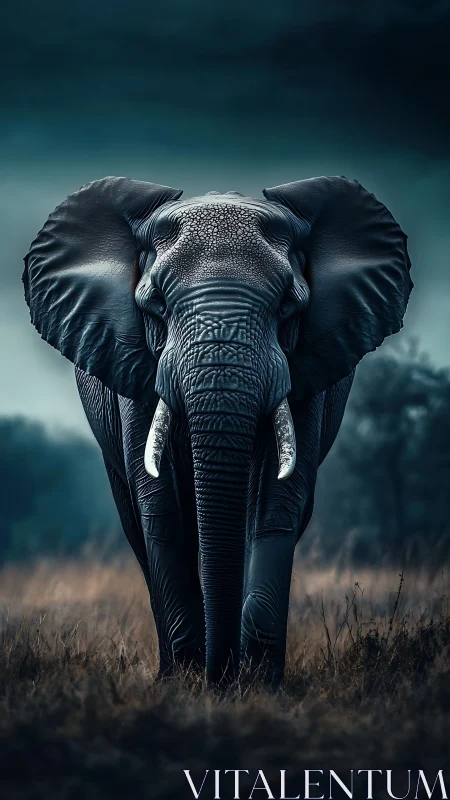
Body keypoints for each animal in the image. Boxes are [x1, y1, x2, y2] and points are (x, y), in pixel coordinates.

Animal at [23, 176, 412, 687]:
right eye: (156, 304)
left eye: (288, 306)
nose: (220, 676)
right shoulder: (134, 365)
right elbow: (161, 507)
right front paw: (188, 682)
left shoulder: (309, 369)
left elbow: (275, 503)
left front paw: (260, 683)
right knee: (139, 526)